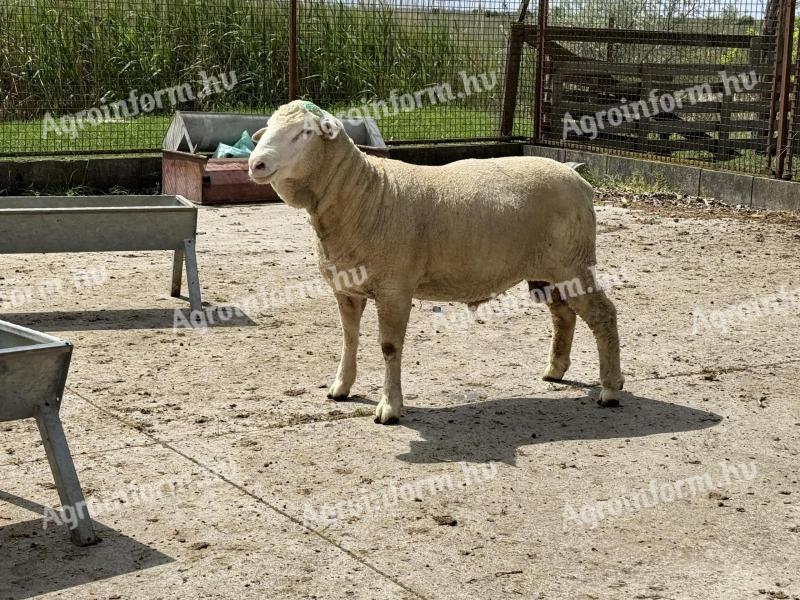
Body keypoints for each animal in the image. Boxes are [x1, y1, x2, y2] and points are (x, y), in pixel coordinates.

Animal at [247, 99, 620, 422]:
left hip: (574, 262)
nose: (255, 164)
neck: (364, 194)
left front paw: (389, 408)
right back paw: (555, 370)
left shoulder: (395, 288)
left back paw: (611, 389)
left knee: (603, 315)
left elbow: (389, 347)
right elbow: (348, 337)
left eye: (304, 133)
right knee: (563, 316)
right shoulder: (346, 289)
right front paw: (341, 387)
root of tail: (580, 180)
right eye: (267, 129)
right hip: (549, 270)